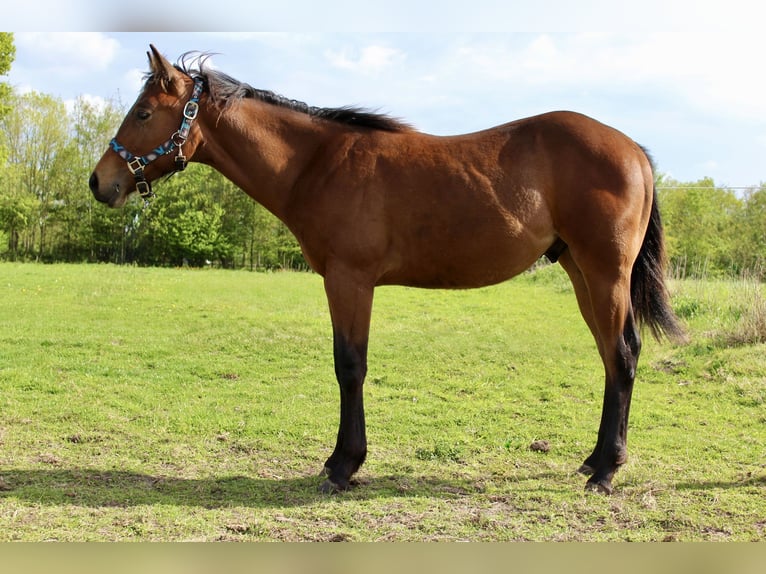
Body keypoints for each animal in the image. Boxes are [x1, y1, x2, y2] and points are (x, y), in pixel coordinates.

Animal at [89, 45, 686, 495]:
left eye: (143, 114)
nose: (101, 182)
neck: (316, 162)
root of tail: (633, 149)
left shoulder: (349, 279)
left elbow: (349, 366)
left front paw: (342, 466)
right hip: (581, 272)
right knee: (613, 356)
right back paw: (595, 460)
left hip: (605, 273)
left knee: (622, 355)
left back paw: (606, 472)